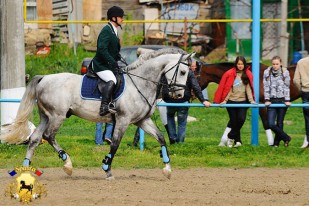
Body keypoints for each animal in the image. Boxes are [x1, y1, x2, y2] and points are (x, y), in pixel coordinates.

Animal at [0, 48, 192, 179]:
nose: (179, 95)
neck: (140, 83)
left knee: (35, 138)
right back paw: (67, 164)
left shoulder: (142, 121)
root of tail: (44, 78)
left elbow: (161, 138)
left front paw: (167, 169)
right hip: (57, 116)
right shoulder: (123, 120)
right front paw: (107, 170)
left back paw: (26, 168)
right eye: (183, 72)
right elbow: (115, 144)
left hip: (46, 117)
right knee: (49, 136)